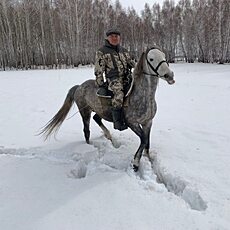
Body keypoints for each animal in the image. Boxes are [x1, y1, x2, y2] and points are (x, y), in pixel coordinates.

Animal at [39, 46, 174, 171]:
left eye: (163, 55)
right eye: (151, 59)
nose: (170, 76)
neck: (143, 96)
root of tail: (79, 86)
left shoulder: (148, 122)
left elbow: (147, 142)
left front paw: (148, 159)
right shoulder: (132, 123)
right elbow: (143, 140)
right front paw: (135, 164)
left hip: (100, 111)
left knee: (97, 119)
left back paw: (109, 137)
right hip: (85, 112)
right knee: (86, 130)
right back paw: (89, 146)